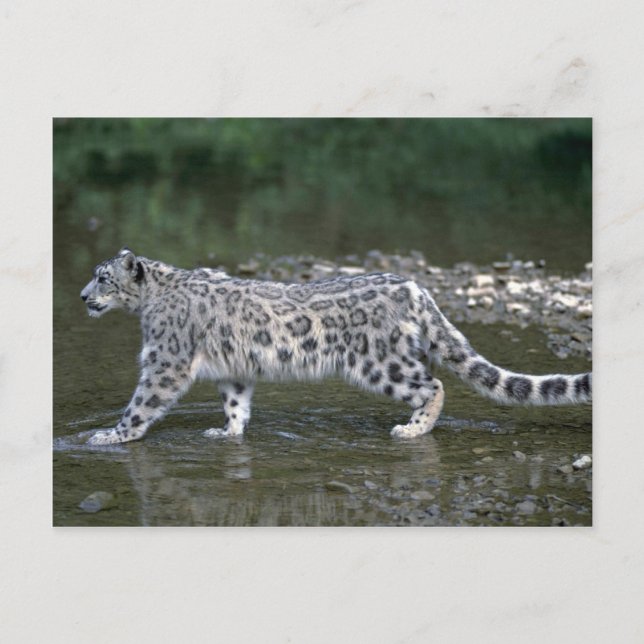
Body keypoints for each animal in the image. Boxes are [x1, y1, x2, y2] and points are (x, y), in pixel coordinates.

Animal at [80, 248, 592, 445]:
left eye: (103, 277)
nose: (83, 297)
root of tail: (416, 287)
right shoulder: (233, 368)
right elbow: (236, 403)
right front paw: (228, 432)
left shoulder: (163, 361)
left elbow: (141, 403)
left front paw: (110, 435)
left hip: (379, 363)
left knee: (434, 385)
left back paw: (413, 429)